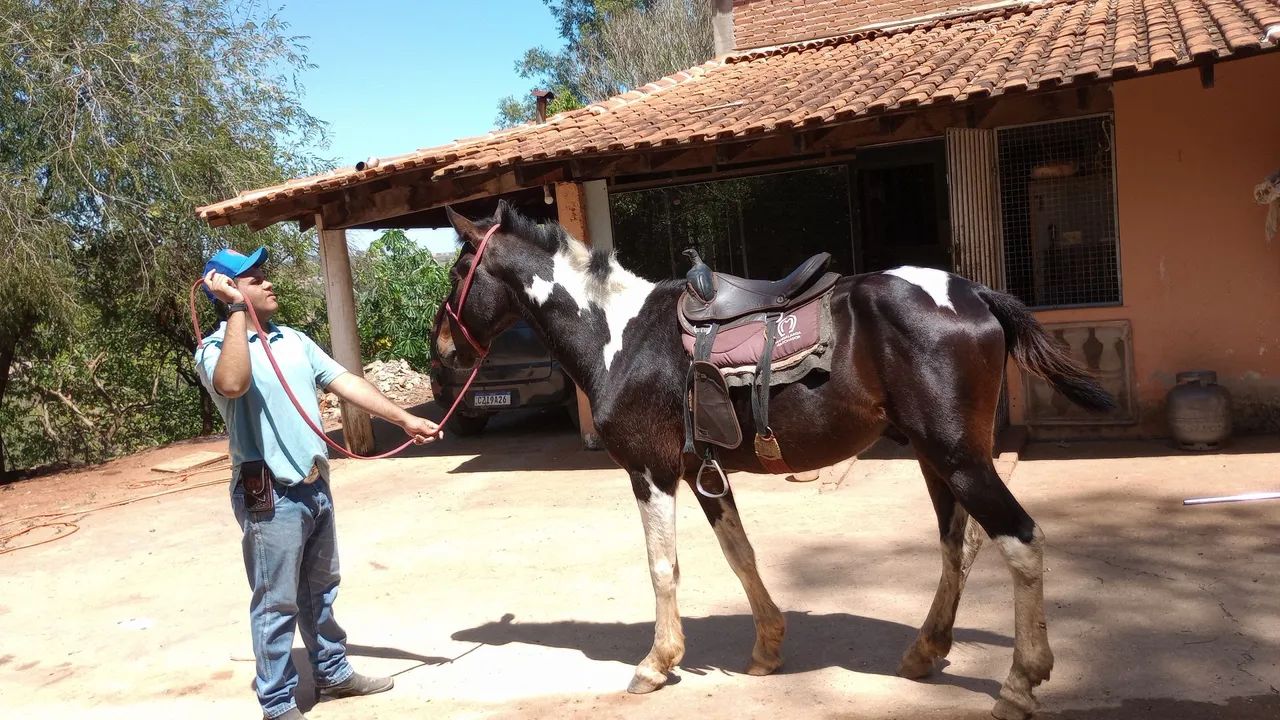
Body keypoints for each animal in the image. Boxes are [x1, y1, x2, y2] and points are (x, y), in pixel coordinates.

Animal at [431, 201, 1114, 720]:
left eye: (461, 267)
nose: (441, 350)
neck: (620, 337)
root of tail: (972, 292)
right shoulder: (702, 474)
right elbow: (741, 554)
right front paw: (767, 648)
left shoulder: (651, 472)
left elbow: (662, 567)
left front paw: (657, 663)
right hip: (936, 457)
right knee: (958, 545)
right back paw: (925, 652)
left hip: (959, 457)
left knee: (1021, 542)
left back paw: (1020, 684)